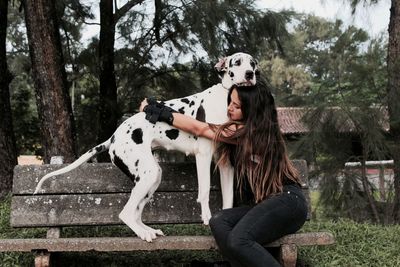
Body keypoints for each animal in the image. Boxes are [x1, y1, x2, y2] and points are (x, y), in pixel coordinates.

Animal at [34, 52, 260, 243]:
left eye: (253, 63)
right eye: (237, 62)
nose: (250, 74)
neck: (226, 98)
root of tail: (113, 137)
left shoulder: (226, 165)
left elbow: (229, 198)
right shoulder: (203, 156)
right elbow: (203, 191)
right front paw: (206, 217)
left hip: (153, 176)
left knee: (136, 212)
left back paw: (146, 230)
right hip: (149, 173)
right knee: (126, 213)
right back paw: (143, 233)